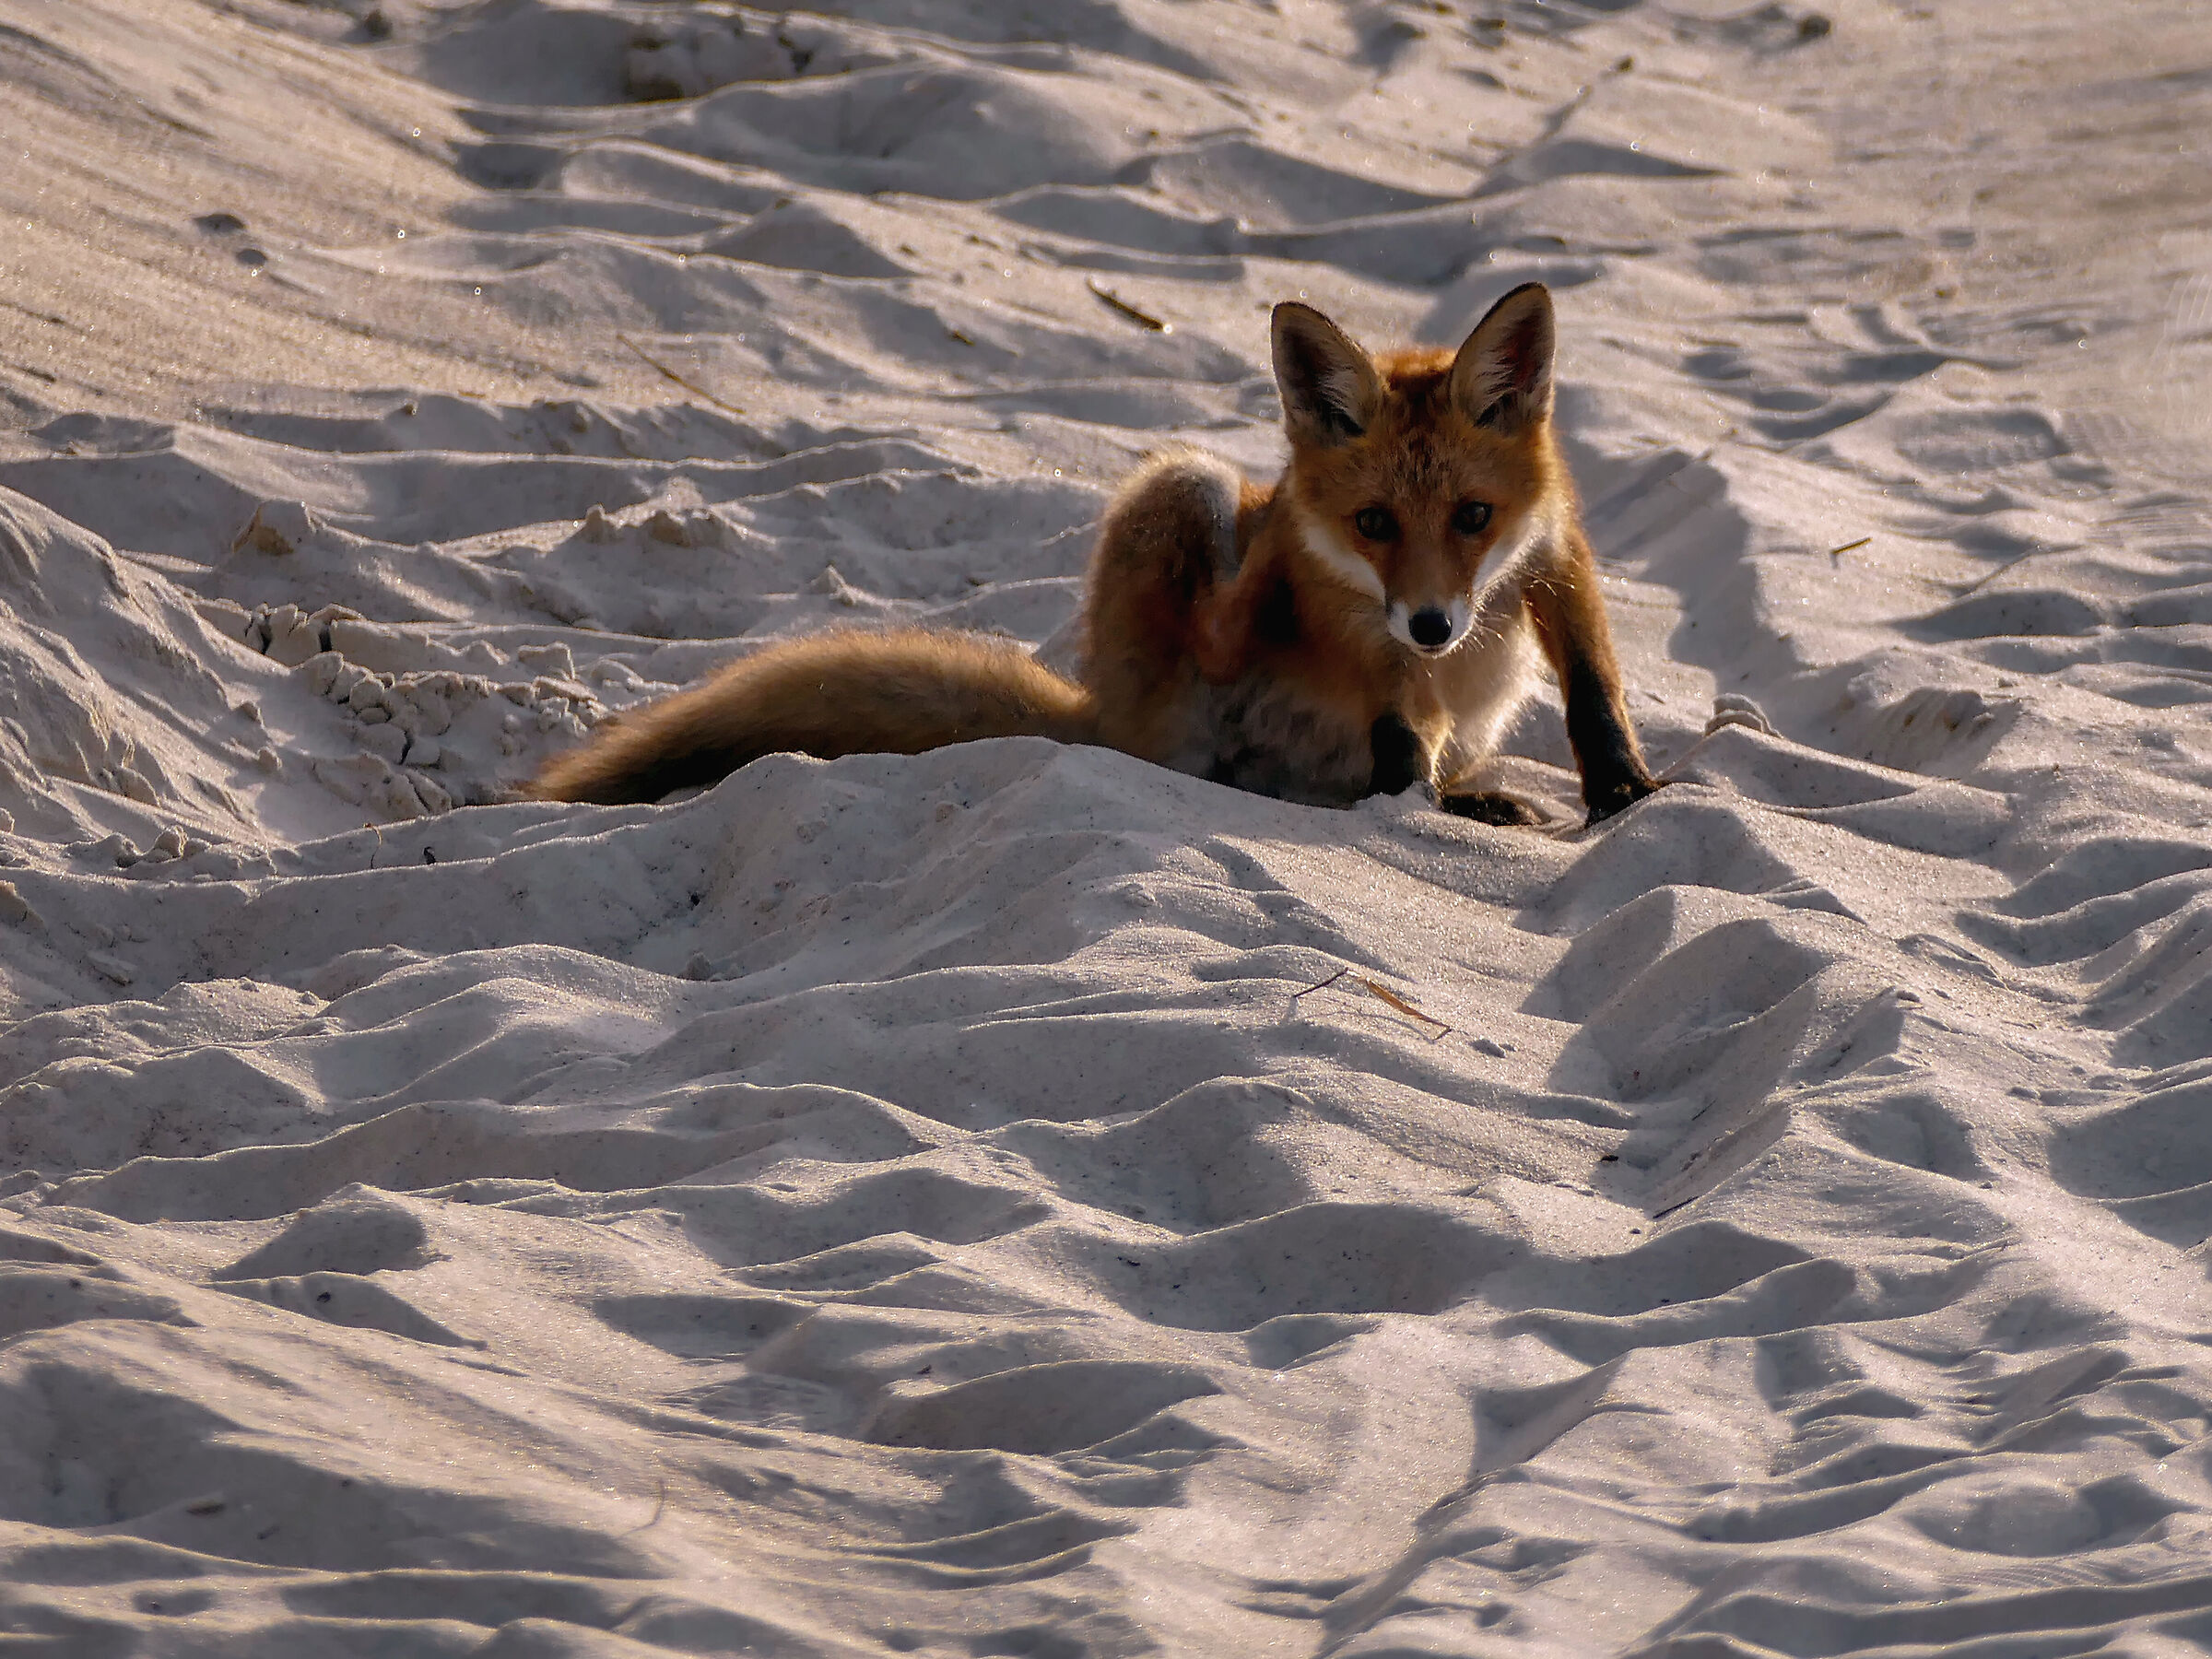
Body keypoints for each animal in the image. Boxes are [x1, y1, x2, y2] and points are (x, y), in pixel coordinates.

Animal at [526, 282, 1660, 825]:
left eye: (1474, 516)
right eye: (1375, 524)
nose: (1432, 624)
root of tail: (1100, 717)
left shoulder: (1556, 552)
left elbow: (1594, 687)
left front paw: (1627, 793)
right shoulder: (1365, 631)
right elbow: (1394, 730)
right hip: (1184, 493)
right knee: (1239, 606)